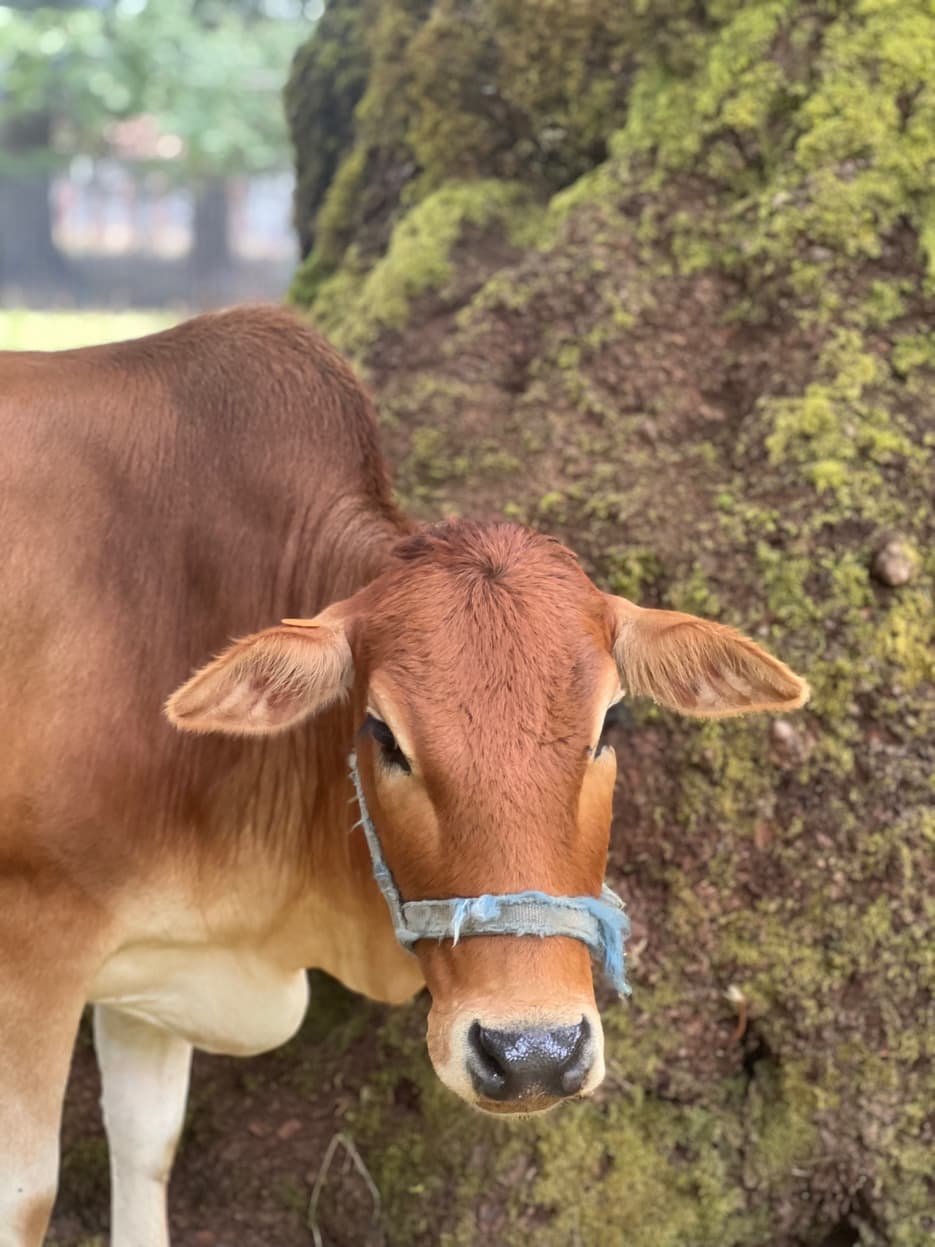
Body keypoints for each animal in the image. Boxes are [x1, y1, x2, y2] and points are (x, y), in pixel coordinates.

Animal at [0, 305, 808, 1245]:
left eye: (610, 721)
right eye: (384, 734)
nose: (532, 1054)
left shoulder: (155, 963)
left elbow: (146, 1144)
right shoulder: (36, 949)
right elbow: (30, 1192)